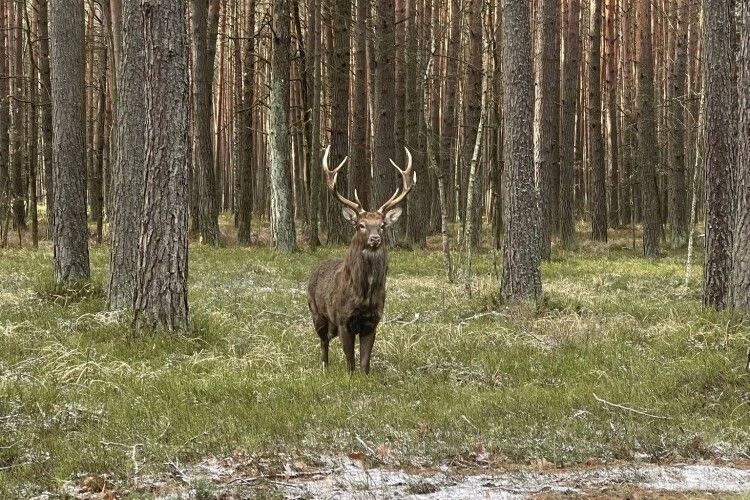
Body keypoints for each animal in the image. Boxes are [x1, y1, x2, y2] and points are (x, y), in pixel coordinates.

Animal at [310, 145, 420, 372]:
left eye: (382, 225)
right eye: (361, 225)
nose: (375, 238)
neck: (364, 293)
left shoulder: (372, 321)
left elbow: (365, 361)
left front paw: (365, 376)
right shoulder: (343, 319)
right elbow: (350, 360)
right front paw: (349, 376)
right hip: (317, 313)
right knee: (323, 341)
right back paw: (324, 368)